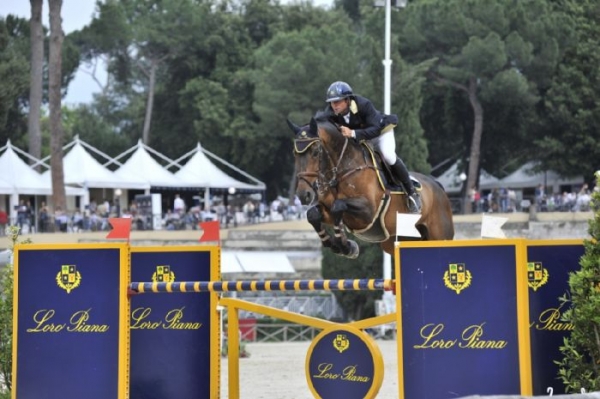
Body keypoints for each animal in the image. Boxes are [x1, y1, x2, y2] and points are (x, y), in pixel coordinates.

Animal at [290, 116, 454, 260]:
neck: (343, 168)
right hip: (397, 240)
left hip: (439, 235)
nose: (303, 195)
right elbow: (312, 214)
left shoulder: (368, 212)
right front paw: (340, 245)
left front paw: (345, 246)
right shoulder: (332, 212)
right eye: (294, 154)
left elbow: (338, 206)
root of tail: (437, 185)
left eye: (315, 152)